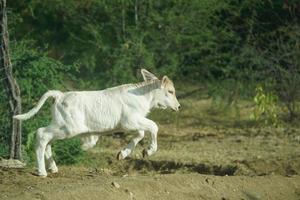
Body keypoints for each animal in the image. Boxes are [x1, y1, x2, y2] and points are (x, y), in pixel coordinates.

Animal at [14, 69, 180, 177]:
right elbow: (153, 126)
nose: (178, 106)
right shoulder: (130, 121)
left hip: (60, 125)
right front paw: (149, 150)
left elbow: (140, 133)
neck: (142, 96)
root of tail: (60, 95)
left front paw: (122, 154)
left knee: (47, 140)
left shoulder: (131, 123)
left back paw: (53, 168)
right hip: (69, 128)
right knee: (41, 134)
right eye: (170, 91)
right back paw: (42, 172)